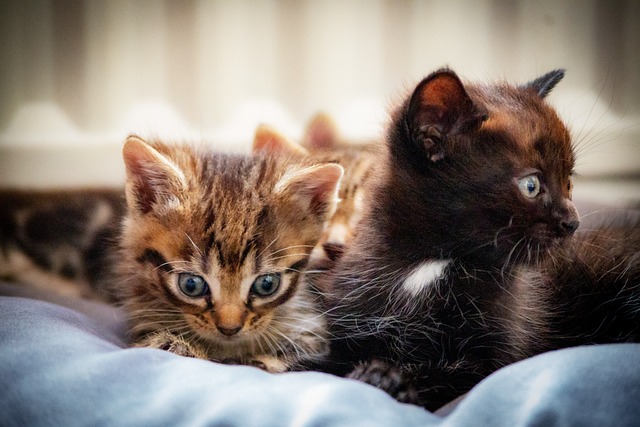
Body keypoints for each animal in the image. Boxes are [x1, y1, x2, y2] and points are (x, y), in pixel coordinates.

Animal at [322, 70, 640, 412]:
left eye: (568, 181)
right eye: (531, 185)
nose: (573, 222)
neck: (432, 260)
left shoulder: (495, 357)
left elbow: (453, 373)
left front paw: (386, 377)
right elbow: (320, 362)